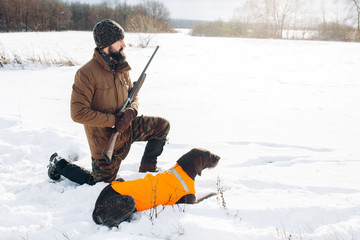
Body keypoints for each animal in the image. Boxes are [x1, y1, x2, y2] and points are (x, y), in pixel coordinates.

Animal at [91, 147, 219, 228]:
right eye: (209, 155)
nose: (219, 157)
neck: (185, 171)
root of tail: (96, 209)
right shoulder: (191, 202)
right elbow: (207, 195)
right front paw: (214, 193)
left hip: (119, 180)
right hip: (129, 199)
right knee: (111, 223)